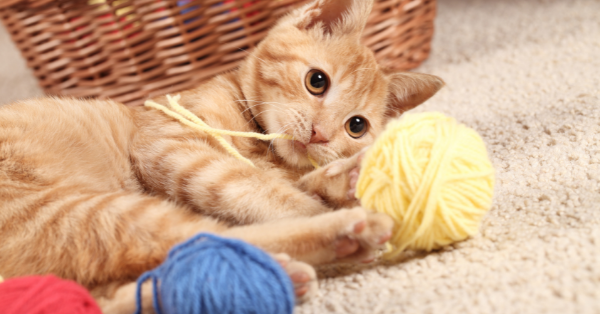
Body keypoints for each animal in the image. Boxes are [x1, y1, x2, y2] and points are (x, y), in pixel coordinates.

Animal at [0, 0, 440, 312]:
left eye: (356, 126)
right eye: (317, 81)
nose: (320, 133)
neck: (262, 145)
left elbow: (296, 181)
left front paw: (345, 178)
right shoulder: (170, 145)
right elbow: (267, 193)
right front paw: (333, 201)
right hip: (88, 212)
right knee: (209, 237)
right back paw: (345, 233)